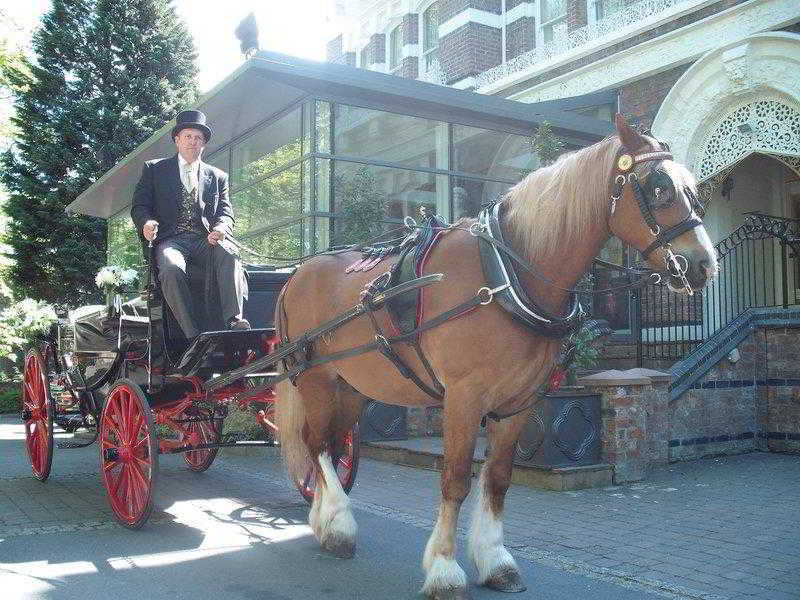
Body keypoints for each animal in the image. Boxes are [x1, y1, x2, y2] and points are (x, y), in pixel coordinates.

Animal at [275, 115, 717, 599]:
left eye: (692, 188)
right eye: (658, 187)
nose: (703, 264)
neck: (506, 276)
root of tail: (296, 273)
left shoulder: (518, 402)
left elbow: (499, 479)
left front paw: (495, 561)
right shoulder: (463, 398)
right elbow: (455, 479)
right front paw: (444, 568)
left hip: (352, 386)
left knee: (332, 445)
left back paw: (325, 522)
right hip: (315, 379)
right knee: (317, 445)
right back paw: (338, 528)